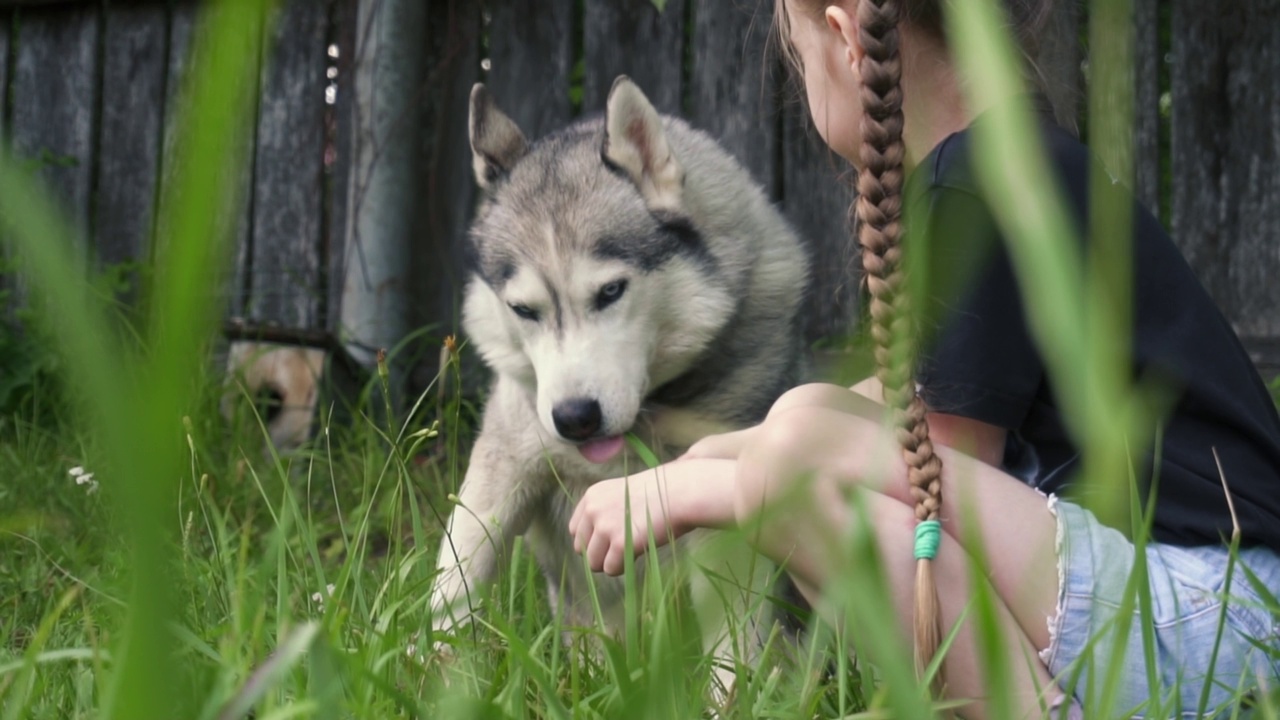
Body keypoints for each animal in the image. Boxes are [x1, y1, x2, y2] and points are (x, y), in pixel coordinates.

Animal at [432, 75, 808, 671]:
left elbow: (735, 645)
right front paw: (433, 673)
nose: (575, 418)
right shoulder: (500, 474)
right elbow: (456, 584)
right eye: (523, 310)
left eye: (610, 291)